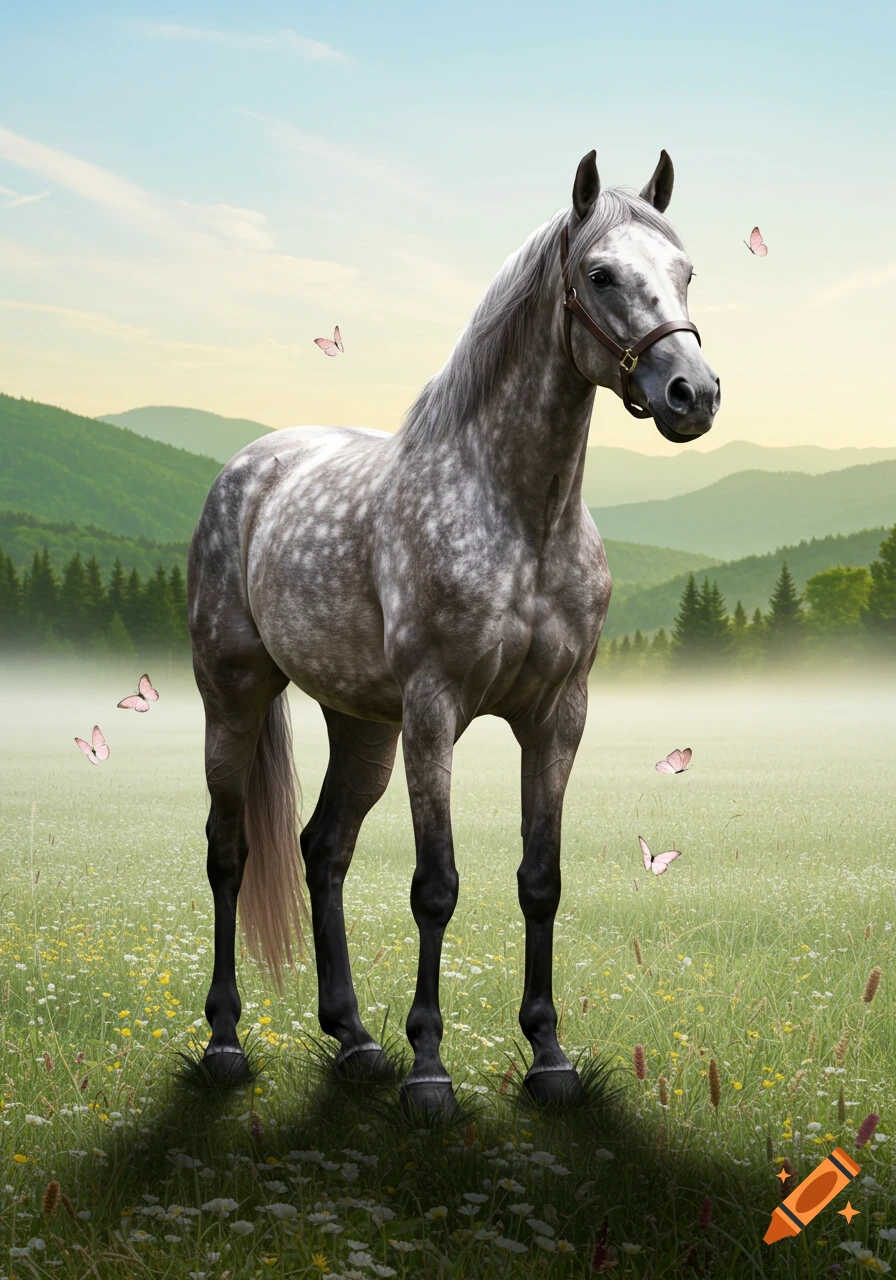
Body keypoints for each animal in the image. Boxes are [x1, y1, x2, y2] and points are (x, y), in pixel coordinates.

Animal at [187, 147, 720, 1113]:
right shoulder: (435, 713)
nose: (692, 394)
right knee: (229, 851)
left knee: (323, 849)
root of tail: (252, 466)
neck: (520, 515)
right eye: (600, 274)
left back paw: (354, 1039)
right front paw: (430, 1070)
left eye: (686, 271)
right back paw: (225, 1042)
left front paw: (548, 1056)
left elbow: (541, 882)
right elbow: (435, 887)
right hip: (234, 694)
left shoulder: (557, 717)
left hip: (363, 724)